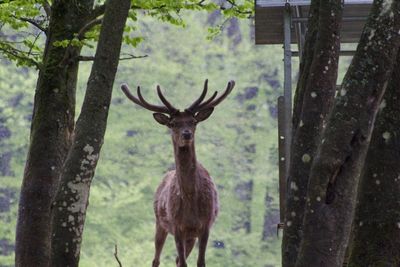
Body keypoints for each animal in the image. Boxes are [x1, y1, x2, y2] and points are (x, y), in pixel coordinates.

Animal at [120, 80, 236, 267]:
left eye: (193, 121)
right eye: (173, 123)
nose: (186, 134)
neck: (190, 197)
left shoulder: (205, 226)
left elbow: (200, 262)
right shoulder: (177, 226)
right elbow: (183, 263)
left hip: (190, 236)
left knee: (175, 259)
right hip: (160, 223)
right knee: (156, 259)